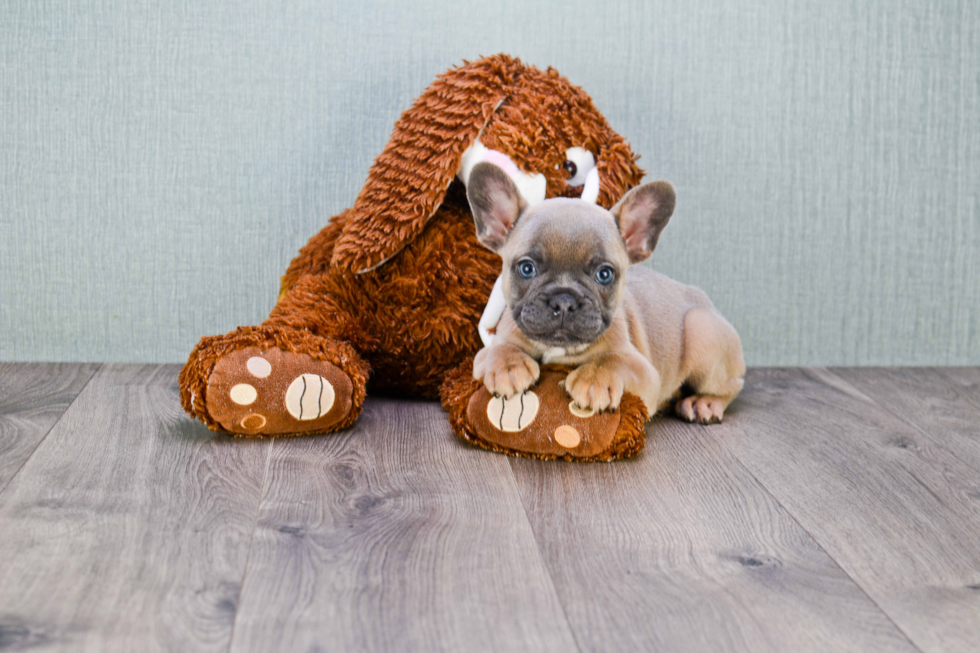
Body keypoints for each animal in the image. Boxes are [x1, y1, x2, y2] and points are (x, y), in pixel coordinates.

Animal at [470, 163, 748, 422]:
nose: (564, 300)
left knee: (731, 387)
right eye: (526, 268)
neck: (560, 349)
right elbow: (497, 349)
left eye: (604, 274)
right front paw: (508, 365)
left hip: (701, 332)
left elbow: (612, 360)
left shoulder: (644, 372)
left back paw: (703, 403)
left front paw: (593, 378)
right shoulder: (486, 351)